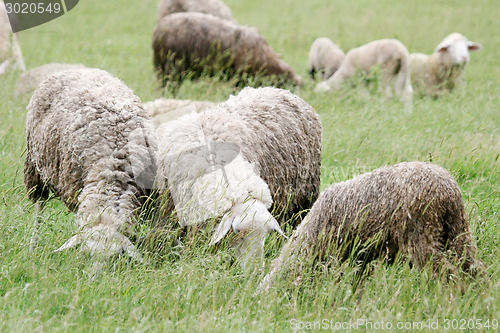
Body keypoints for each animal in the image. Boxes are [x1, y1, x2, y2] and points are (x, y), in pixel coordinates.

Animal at [24, 67, 158, 260]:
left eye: (117, 258)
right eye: (85, 255)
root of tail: (77, 69)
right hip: (36, 167)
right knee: (39, 207)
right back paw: (32, 247)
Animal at [258, 162, 480, 292]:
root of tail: (447, 188)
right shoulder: (361, 256)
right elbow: (359, 281)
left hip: (422, 234)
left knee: (448, 272)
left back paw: (456, 296)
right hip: (457, 228)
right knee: (473, 266)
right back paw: (479, 295)